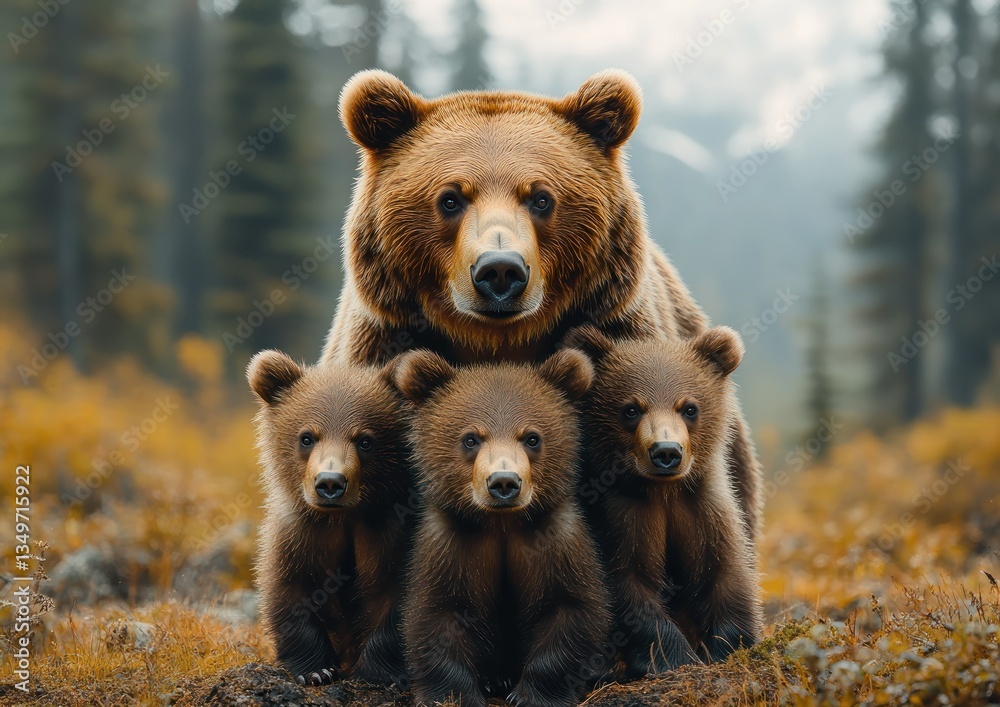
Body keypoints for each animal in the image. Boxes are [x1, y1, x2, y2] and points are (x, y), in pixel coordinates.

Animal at [247, 350, 414, 686]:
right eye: (307, 437)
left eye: (365, 440)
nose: (330, 482)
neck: (345, 517)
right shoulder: (300, 535)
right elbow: (290, 591)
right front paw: (316, 669)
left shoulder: (392, 533)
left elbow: (397, 599)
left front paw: (380, 672)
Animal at [320, 68, 763, 542]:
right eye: (450, 198)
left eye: (541, 198)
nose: (499, 270)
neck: (497, 342)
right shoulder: (386, 346)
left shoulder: (617, 336)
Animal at [389, 348, 611, 707]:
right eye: (470, 439)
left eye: (532, 437)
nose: (504, 482)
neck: (501, 524)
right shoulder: (451, 544)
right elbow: (435, 615)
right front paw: (455, 694)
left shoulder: (554, 539)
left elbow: (570, 609)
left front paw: (532, 695)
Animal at [562, 324, 763, 677]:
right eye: (631, 408)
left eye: (689, 407)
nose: (666, 451)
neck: (662, 492)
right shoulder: (622, 516)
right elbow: (629, 586)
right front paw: (674, 657)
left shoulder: (701, 508)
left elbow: (723, 571)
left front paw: (728, 645)